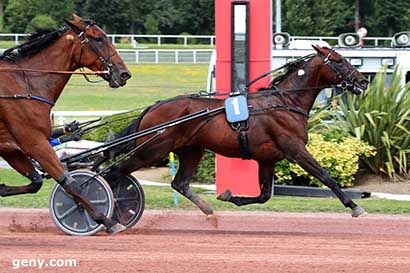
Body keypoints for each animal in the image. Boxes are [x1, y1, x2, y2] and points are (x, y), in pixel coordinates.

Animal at [0, 13, 131, 233]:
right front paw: (106, 220)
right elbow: (69, 182)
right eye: (98, 38)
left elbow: (36, 181)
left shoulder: (12, 148)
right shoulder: (35, 142)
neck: (24, 84)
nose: (124, 73)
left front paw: (2, 188)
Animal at [107, 44, 370, 223]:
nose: (363, 81)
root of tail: (153, 107)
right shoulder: (295, 150)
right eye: (338, 60)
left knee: (179, 183)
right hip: (151, 151)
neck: (285, 103)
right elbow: (325, 176)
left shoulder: (267, 159)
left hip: (191, 150)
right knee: (112, 173)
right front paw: (354, 206)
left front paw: (228, 196)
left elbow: (264, 195)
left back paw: (208, 211)